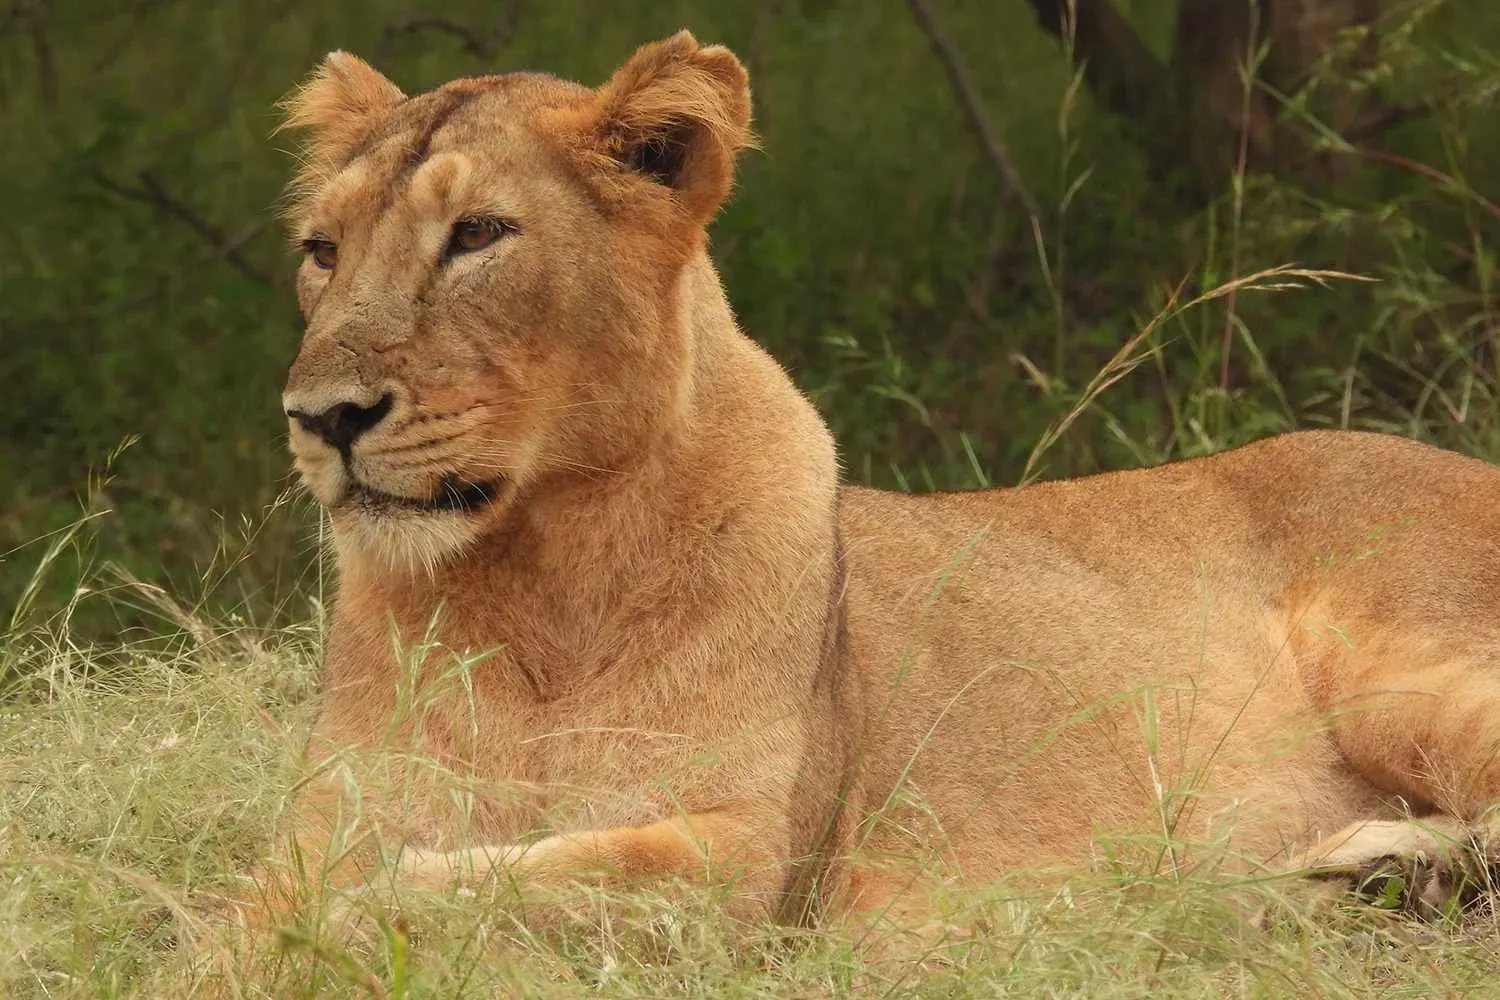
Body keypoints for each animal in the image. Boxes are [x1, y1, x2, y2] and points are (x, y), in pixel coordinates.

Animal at [269, 30, 1500, 937]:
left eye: (477, 234)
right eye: (323, 250)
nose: (323, 417)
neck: (540, 565)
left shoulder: (762, 861)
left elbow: (528, 875)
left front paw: (375, 901)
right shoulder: (324, 815)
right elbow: (270, 897)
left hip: (1399, 673)